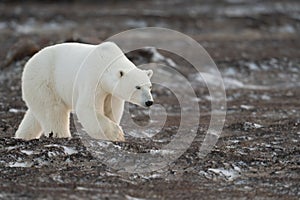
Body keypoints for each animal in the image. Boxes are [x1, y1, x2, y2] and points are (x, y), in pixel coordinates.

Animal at [15, 41, 154, 142]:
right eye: (137, 87)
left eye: (149, 86)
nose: (149, 102)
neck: (106, 61)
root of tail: (30, 62)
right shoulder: (93, 80)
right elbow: (86, 108)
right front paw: (117, 134)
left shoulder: (111, 93)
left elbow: (111, 109)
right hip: (46, 79)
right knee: (53, 110)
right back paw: (61, 135)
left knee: (36, 113)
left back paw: (22, 136)